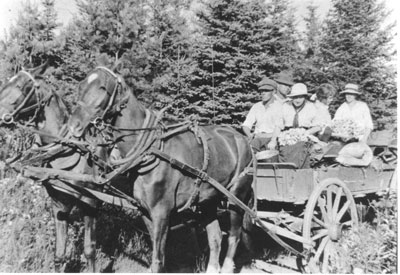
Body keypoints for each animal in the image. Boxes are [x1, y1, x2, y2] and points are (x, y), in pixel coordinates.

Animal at [67, 67, 252, 274]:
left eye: (103, 88)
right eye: (81, 86)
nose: (74, 125)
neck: (151, 150)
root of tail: (242, 138)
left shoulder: (161, 213)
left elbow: (158, 261)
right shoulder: (145, 211)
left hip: (236, 196)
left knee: (234, 236)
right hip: (208, 200)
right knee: (215, 238)